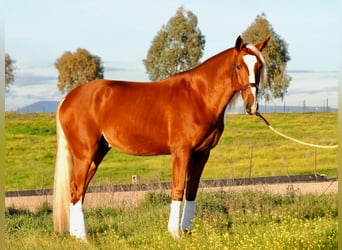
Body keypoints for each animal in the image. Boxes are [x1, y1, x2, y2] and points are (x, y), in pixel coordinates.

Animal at [53, 35, 268, 240]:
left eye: (258, 66)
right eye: (238, 66)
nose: (252, 106)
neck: (198, 96)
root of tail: (68, 98)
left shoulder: (202, 154)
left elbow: (192, 190)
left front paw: (188, 231)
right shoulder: (181, 152)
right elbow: (178, 189)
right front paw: (175, 234)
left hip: (97, 153)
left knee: (78, 191)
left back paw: (76, 235)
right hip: (85, 154)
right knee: (77, 189)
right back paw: (83, 239)